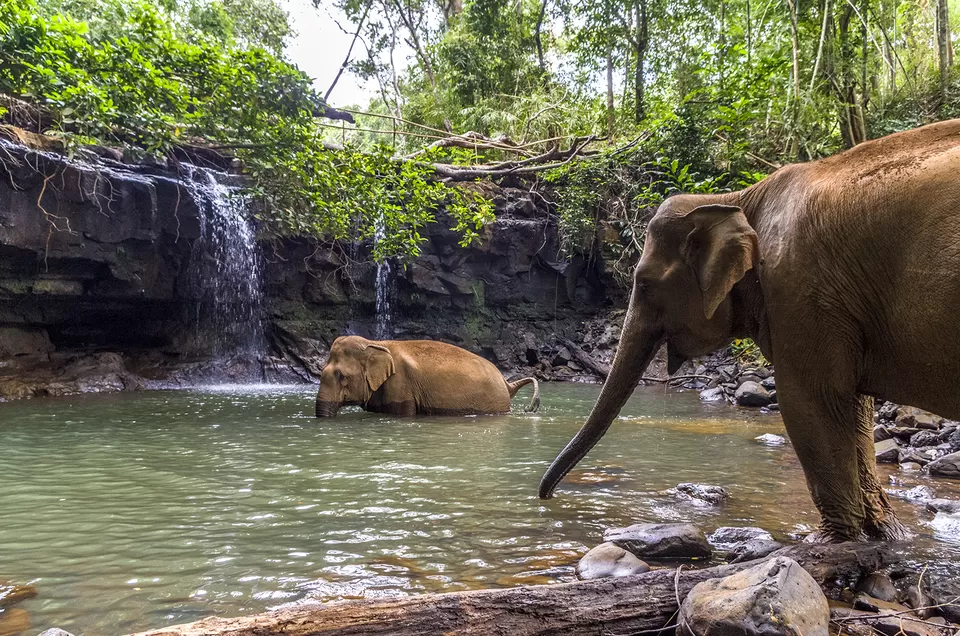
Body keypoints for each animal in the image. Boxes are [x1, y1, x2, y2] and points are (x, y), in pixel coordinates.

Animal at [540, 119, 960, 542]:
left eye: (643, 284)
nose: (545, 496)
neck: (736, 199)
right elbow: (856, 408)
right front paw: (887, 534)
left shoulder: (799, 288)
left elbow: (812, 400)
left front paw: (829, 541)